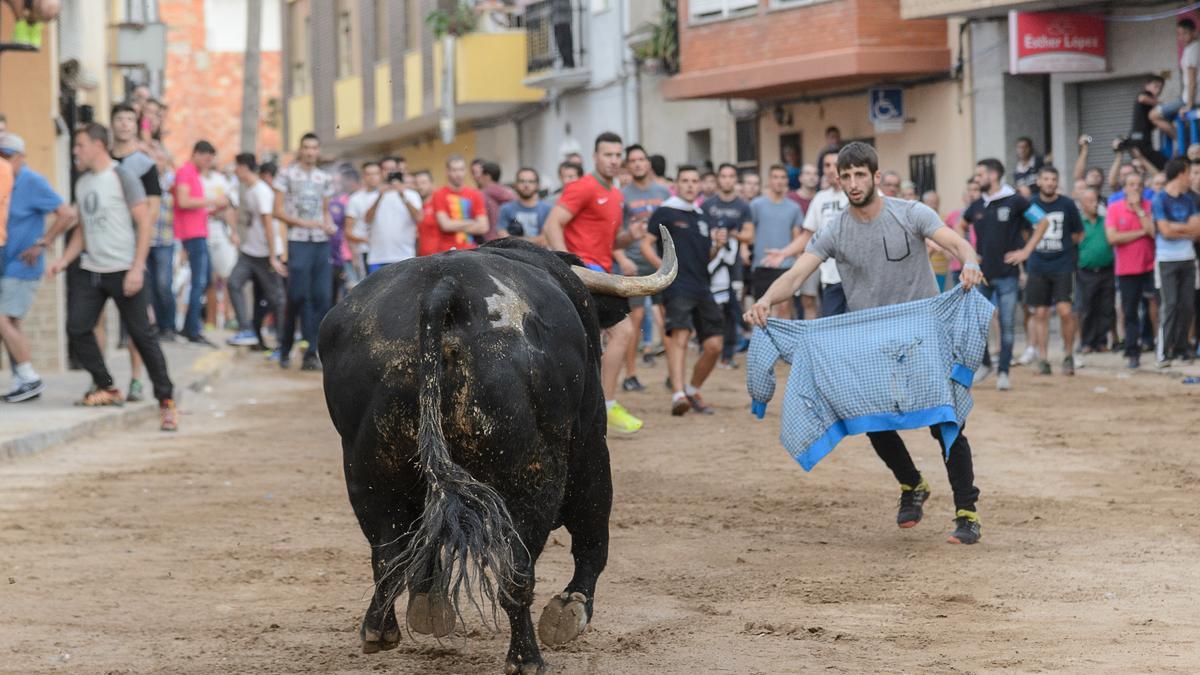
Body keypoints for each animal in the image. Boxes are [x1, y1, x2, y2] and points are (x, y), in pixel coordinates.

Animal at [319, 229, 676, 667]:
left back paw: (381, 628)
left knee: (388, 551)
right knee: (518, 568)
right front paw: (570, 607)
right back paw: (526, 658)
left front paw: (428, 605)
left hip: (367, 467)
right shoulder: (592, 442)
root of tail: (443, 288)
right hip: (528, 472)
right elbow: (592, 531)